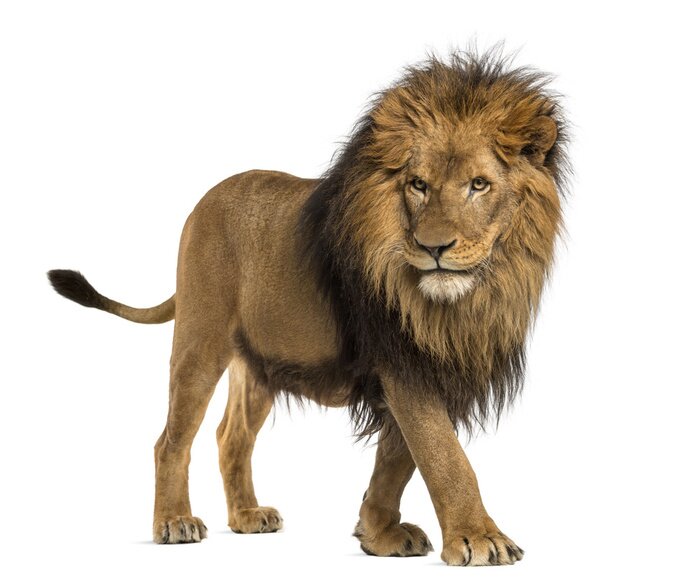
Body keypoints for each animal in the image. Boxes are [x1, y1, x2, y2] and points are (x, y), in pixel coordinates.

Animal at [48, 50, 568, 566]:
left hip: (259, 365)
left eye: (479, 185)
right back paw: (174, 522)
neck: (467, 298)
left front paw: (377, 533)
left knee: (231, 437)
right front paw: (479, 538)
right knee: (171, 439)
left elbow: (397, 457)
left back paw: (247, 516)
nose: (432, 247)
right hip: (200, 339)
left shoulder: (426, 364)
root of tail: (202, 204)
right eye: (418, 185)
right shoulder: (401, 359)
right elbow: (443, 454)